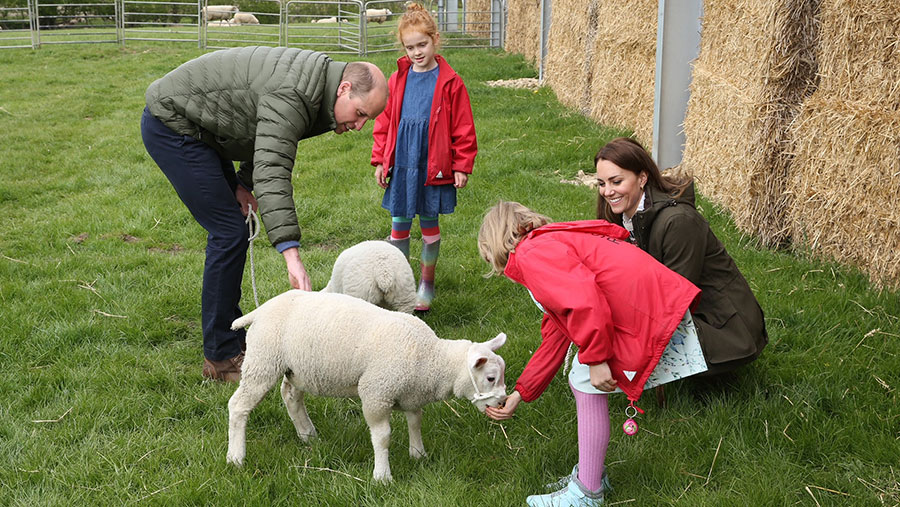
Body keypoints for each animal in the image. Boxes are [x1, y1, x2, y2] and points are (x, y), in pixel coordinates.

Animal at [227, 292, 506, 482]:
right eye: (491, 378)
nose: (503, 402)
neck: (431, 358)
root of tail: (260, 311)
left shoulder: (412, 395)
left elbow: (415, 422)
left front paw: (418, 454)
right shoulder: (376, 393)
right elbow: (382, 436)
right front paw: (382, 476)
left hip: (296, 368)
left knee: (290, 396)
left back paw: (308, 435)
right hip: (263, 360)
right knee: (238, 405)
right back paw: (236, 457)